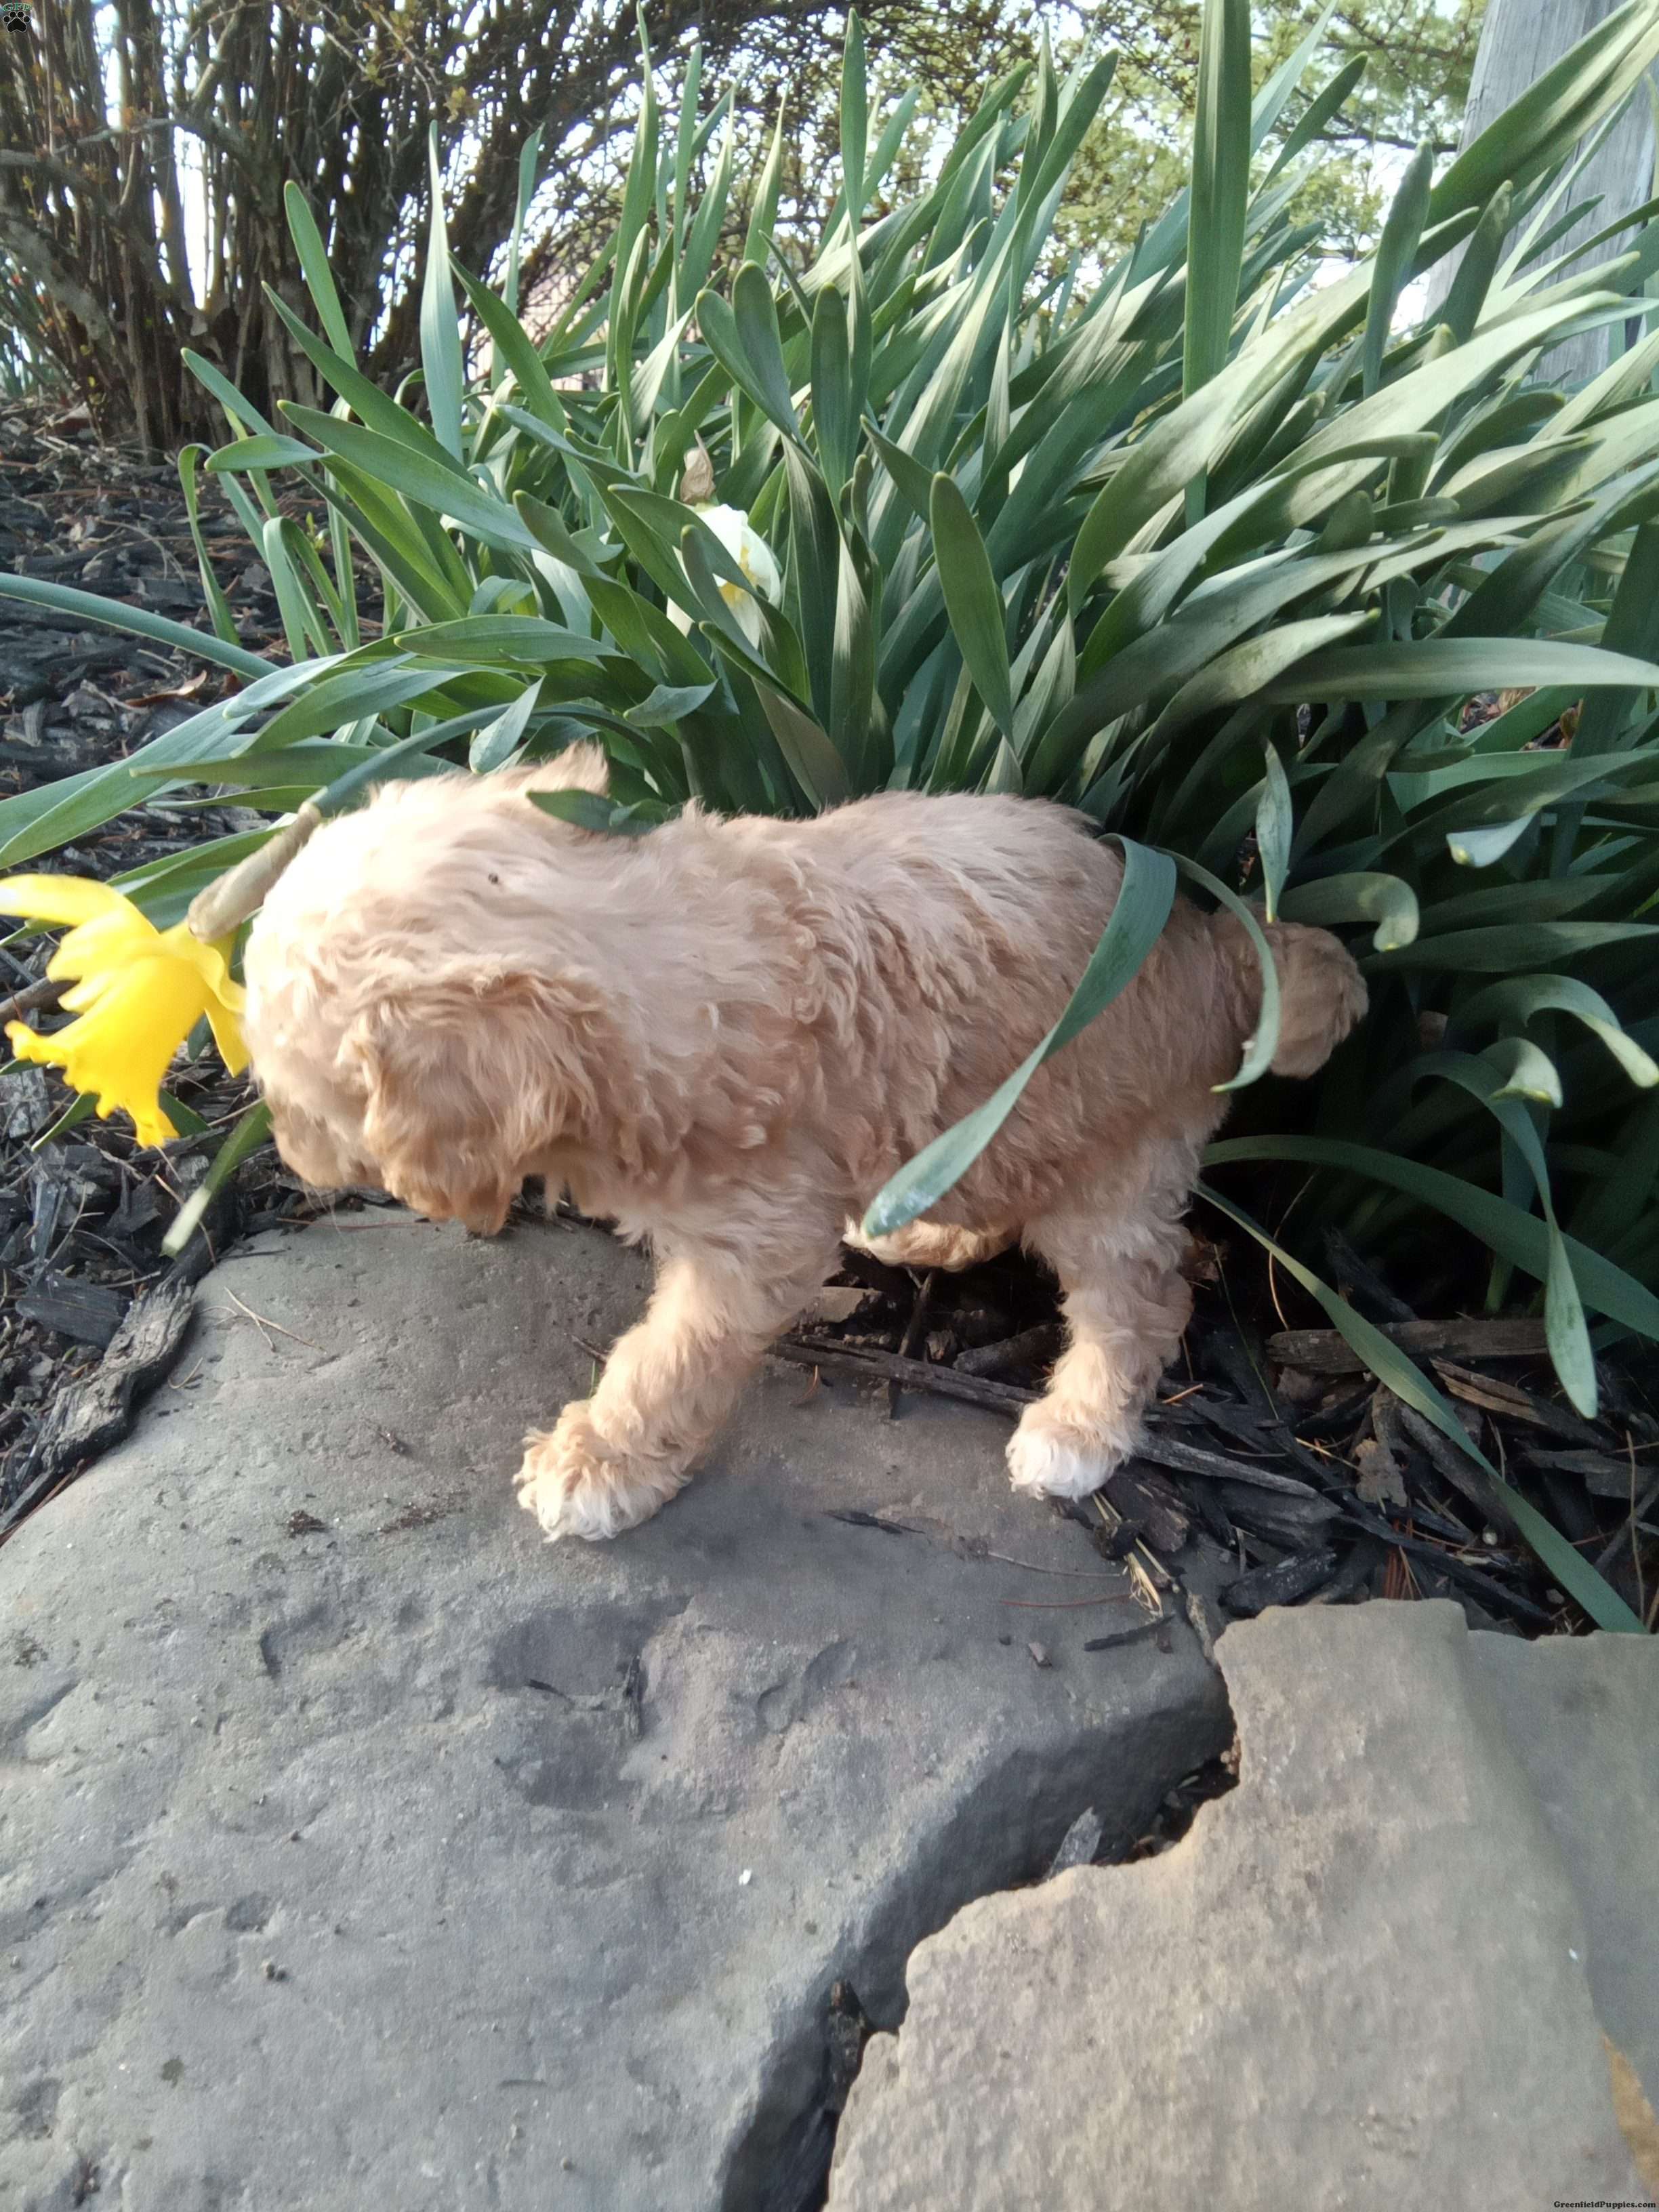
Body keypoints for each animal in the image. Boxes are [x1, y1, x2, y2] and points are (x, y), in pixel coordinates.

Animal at [241, 748, 1366, 1541]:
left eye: (301, 1101)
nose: (289, 1161)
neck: (665, 964)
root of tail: (1227, 950)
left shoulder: (753, 1246)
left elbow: (669, 1360)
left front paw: (596, 1462)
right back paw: (919, 1235)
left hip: (1113, 1160)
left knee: (1142, 1300)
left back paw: (1076, 1429)